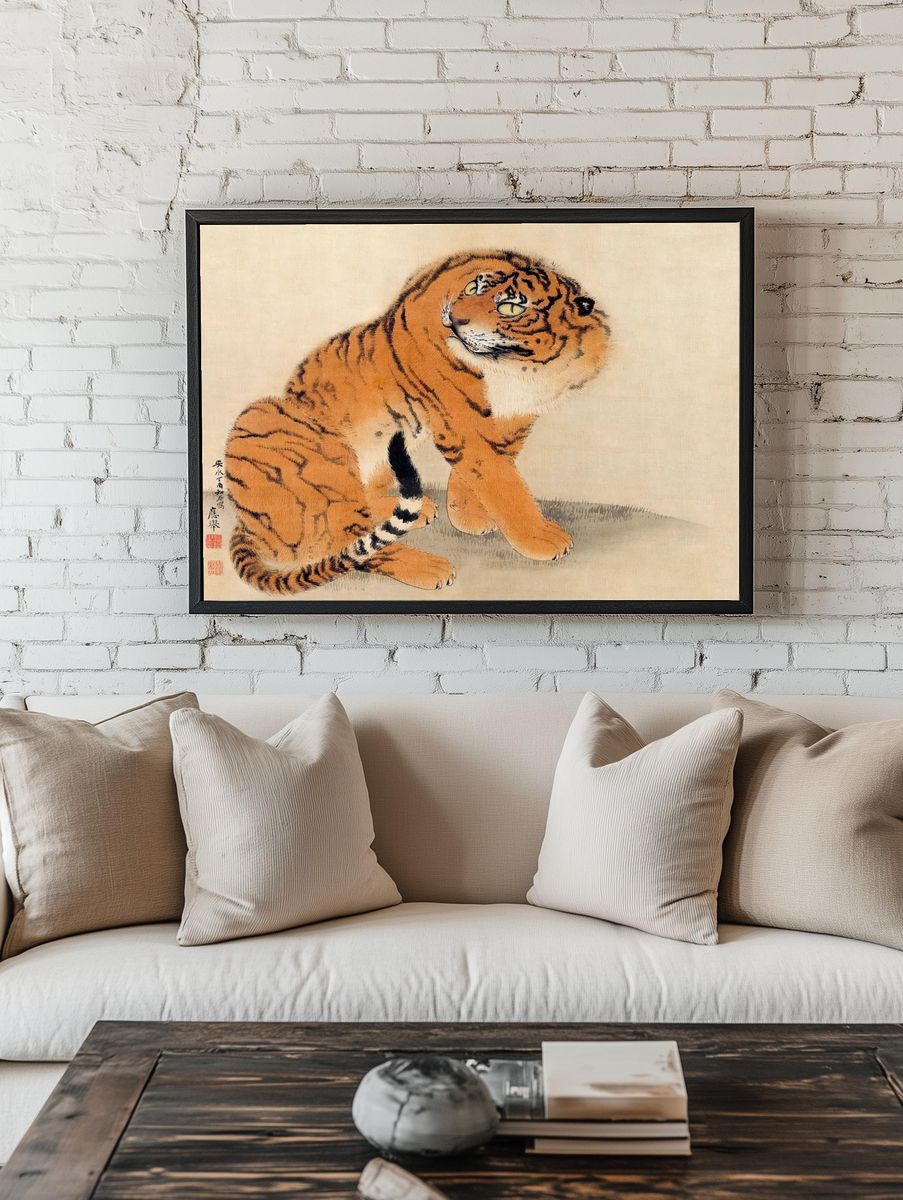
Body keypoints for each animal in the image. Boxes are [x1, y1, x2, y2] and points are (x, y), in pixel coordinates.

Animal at [226, 249, 610, 594]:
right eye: (473, 289)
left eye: (511, 307)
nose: (454, 319)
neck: (520, 367)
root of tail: (246, 522)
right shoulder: (461, 419)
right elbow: (502, 482)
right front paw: (540, 537)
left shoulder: (516, 417)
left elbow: (489, 471)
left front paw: (468, 516)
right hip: (294, 439)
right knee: (349, 543)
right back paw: (430, 568)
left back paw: (419, 508)